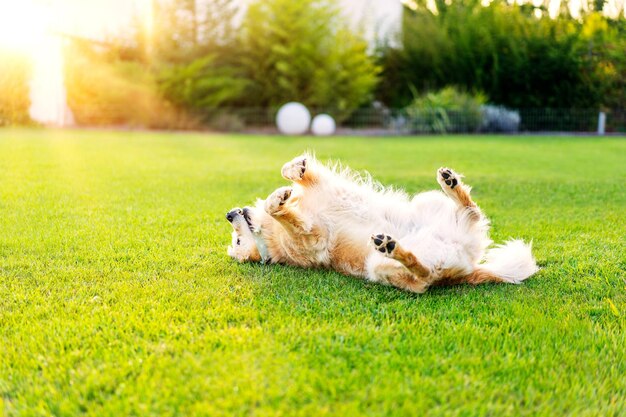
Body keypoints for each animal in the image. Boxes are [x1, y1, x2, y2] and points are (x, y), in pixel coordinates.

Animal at [225, 154, 536, 294]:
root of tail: (469, 268)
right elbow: (283, 213)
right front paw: (277, 202)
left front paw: (293, 173)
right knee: (422, 278)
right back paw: (392, 247)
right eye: (237, 242)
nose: (229, 214)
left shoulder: (325, 188)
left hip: (426, 202)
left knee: (471, 211)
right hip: (379, 267)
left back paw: (451, 183)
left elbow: (294, 175)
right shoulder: (312, 236)